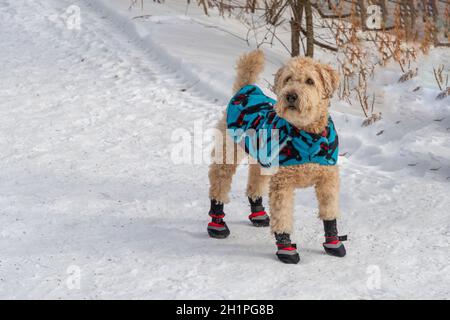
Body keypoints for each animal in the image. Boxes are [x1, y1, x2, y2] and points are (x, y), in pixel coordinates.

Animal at [206, 50, 346, 264]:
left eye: (310, 81)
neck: (307, 135)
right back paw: (217, 223)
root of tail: (246, 89)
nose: (291, 96)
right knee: (219, 183)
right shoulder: (283, 183)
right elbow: (282, 216)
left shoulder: (327, 179)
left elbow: (329, 211)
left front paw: (333, 242)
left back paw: (258, 214)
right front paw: (286, 248)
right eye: (288, 79)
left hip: (261, 160)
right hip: (227, 154)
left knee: (254, 184)